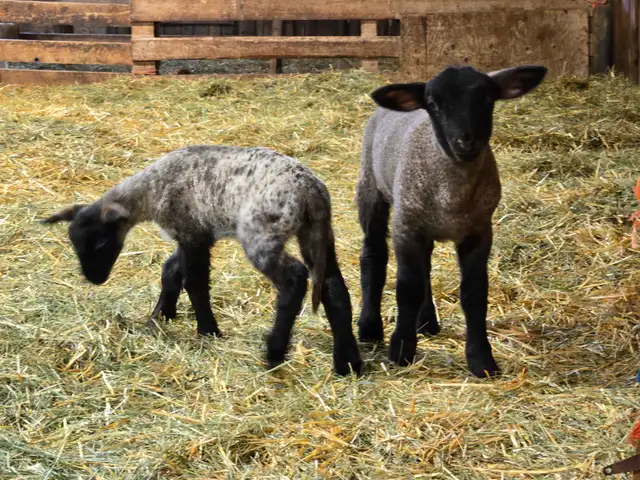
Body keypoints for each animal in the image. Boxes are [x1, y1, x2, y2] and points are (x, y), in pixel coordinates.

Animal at [41, 145, 363, 376]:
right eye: (74, 244)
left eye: (100, 242)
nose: (94, 279)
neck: (150, 191)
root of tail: (310, 191)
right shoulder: (193, 234)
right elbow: (171, 270)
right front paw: (161, 316)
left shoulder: (191, 231)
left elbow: (194, 282)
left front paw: (208, 330)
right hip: (317, 232)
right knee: (333, 286)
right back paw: (348, 364)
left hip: (262, 232)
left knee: (294, 278)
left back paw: (274, 352)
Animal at [355, 64, 547, 377]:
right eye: (434, 103)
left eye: (487, 97)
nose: (466, 141)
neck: (452, 193)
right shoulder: (406, 228)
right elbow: (407, 289)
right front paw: (401, 351)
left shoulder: (479, 232)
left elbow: (473, 293)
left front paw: (481, 360)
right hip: (370, 189)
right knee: (373, 254)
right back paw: (370, 327)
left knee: (425, 267)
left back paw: (426, 322)